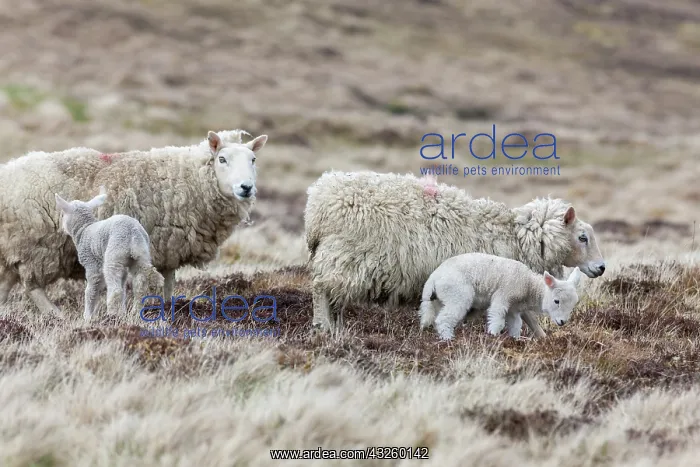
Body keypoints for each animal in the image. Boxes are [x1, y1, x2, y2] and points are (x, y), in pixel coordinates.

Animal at [54, 187, 164, 321]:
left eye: (63, 214)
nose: (61, 229)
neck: (84, 229)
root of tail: (133, 234)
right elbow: (123, 287)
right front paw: (122, 311)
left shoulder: (92, 264)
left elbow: (91, 290)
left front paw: (88, 316)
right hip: (141, 256)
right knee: (139, 287)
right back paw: (135, 313)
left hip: (114, 256)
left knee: (115, 289)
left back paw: (111, 315)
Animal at [419, 252, 582, 340]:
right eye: (556, 301)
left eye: (573, 304)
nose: (562, 322)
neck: (528, 285)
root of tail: (433, 279)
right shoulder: (503, 295)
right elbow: (497, 318)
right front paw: (493, 335)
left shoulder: (514, 309)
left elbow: (516, 324)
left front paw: (514, 339)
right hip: (458, 294)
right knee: (443, 319)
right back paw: (448, 339)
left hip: (439, 299)